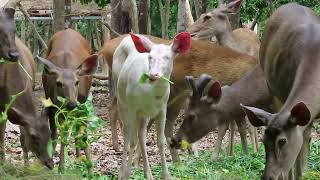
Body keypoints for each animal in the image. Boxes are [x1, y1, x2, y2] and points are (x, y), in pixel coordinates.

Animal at [36, 28, 99, 172]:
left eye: (77, 82)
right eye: (58, 83)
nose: (71, 103)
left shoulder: (83, 106)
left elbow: (84, 135)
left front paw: (90, 168)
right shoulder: (55, 107)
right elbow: (61, 134)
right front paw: (60, 168)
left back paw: (78, 157)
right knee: (56, 133)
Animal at [99, 33, 256, 162]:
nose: (153, 75)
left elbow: (231, 126)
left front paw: (234, 154)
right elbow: (240, 127)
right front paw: (243, 154)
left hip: (176, 98)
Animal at [114, 32, 191, 180]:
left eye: (167, 57)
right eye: (150, 57)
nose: (153, 75)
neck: (150, 95)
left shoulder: (162, 108)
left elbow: (160, 141)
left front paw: (166, 175)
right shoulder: (133, 107)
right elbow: (132, 141)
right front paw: (127, 174)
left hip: (143, 114)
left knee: (142, 134)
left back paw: (148, 173)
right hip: (121, 100)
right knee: (126, 132)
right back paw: (121, 172)